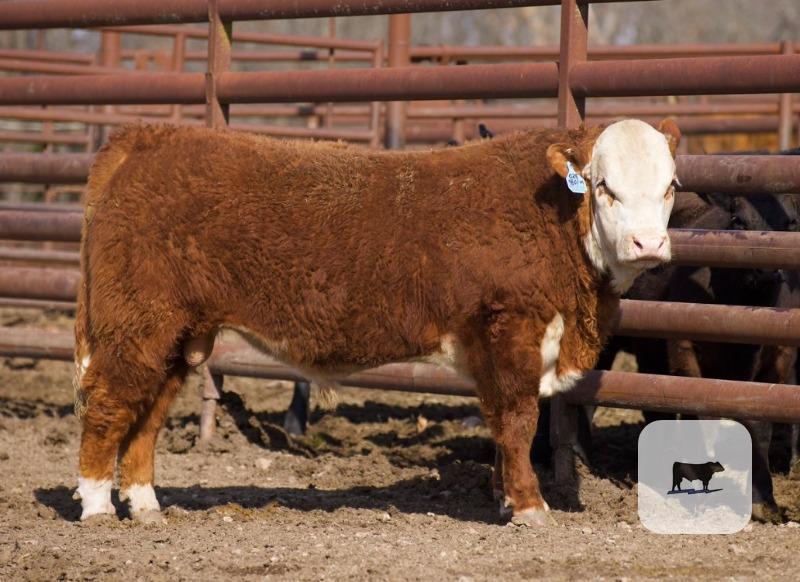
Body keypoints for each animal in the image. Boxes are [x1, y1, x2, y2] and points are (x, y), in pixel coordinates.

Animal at [72, 119, 680, 525]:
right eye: (604, 186)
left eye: (670, 186)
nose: (649, 244)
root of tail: (151, 135)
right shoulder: (509, 325)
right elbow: (518, 419)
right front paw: (531, 507)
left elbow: (502, 427)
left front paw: (507, 496)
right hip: (136, 323)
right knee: (107, 404)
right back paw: (98, 507)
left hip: (176, 335)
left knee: (148, 415)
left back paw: (146, 506)